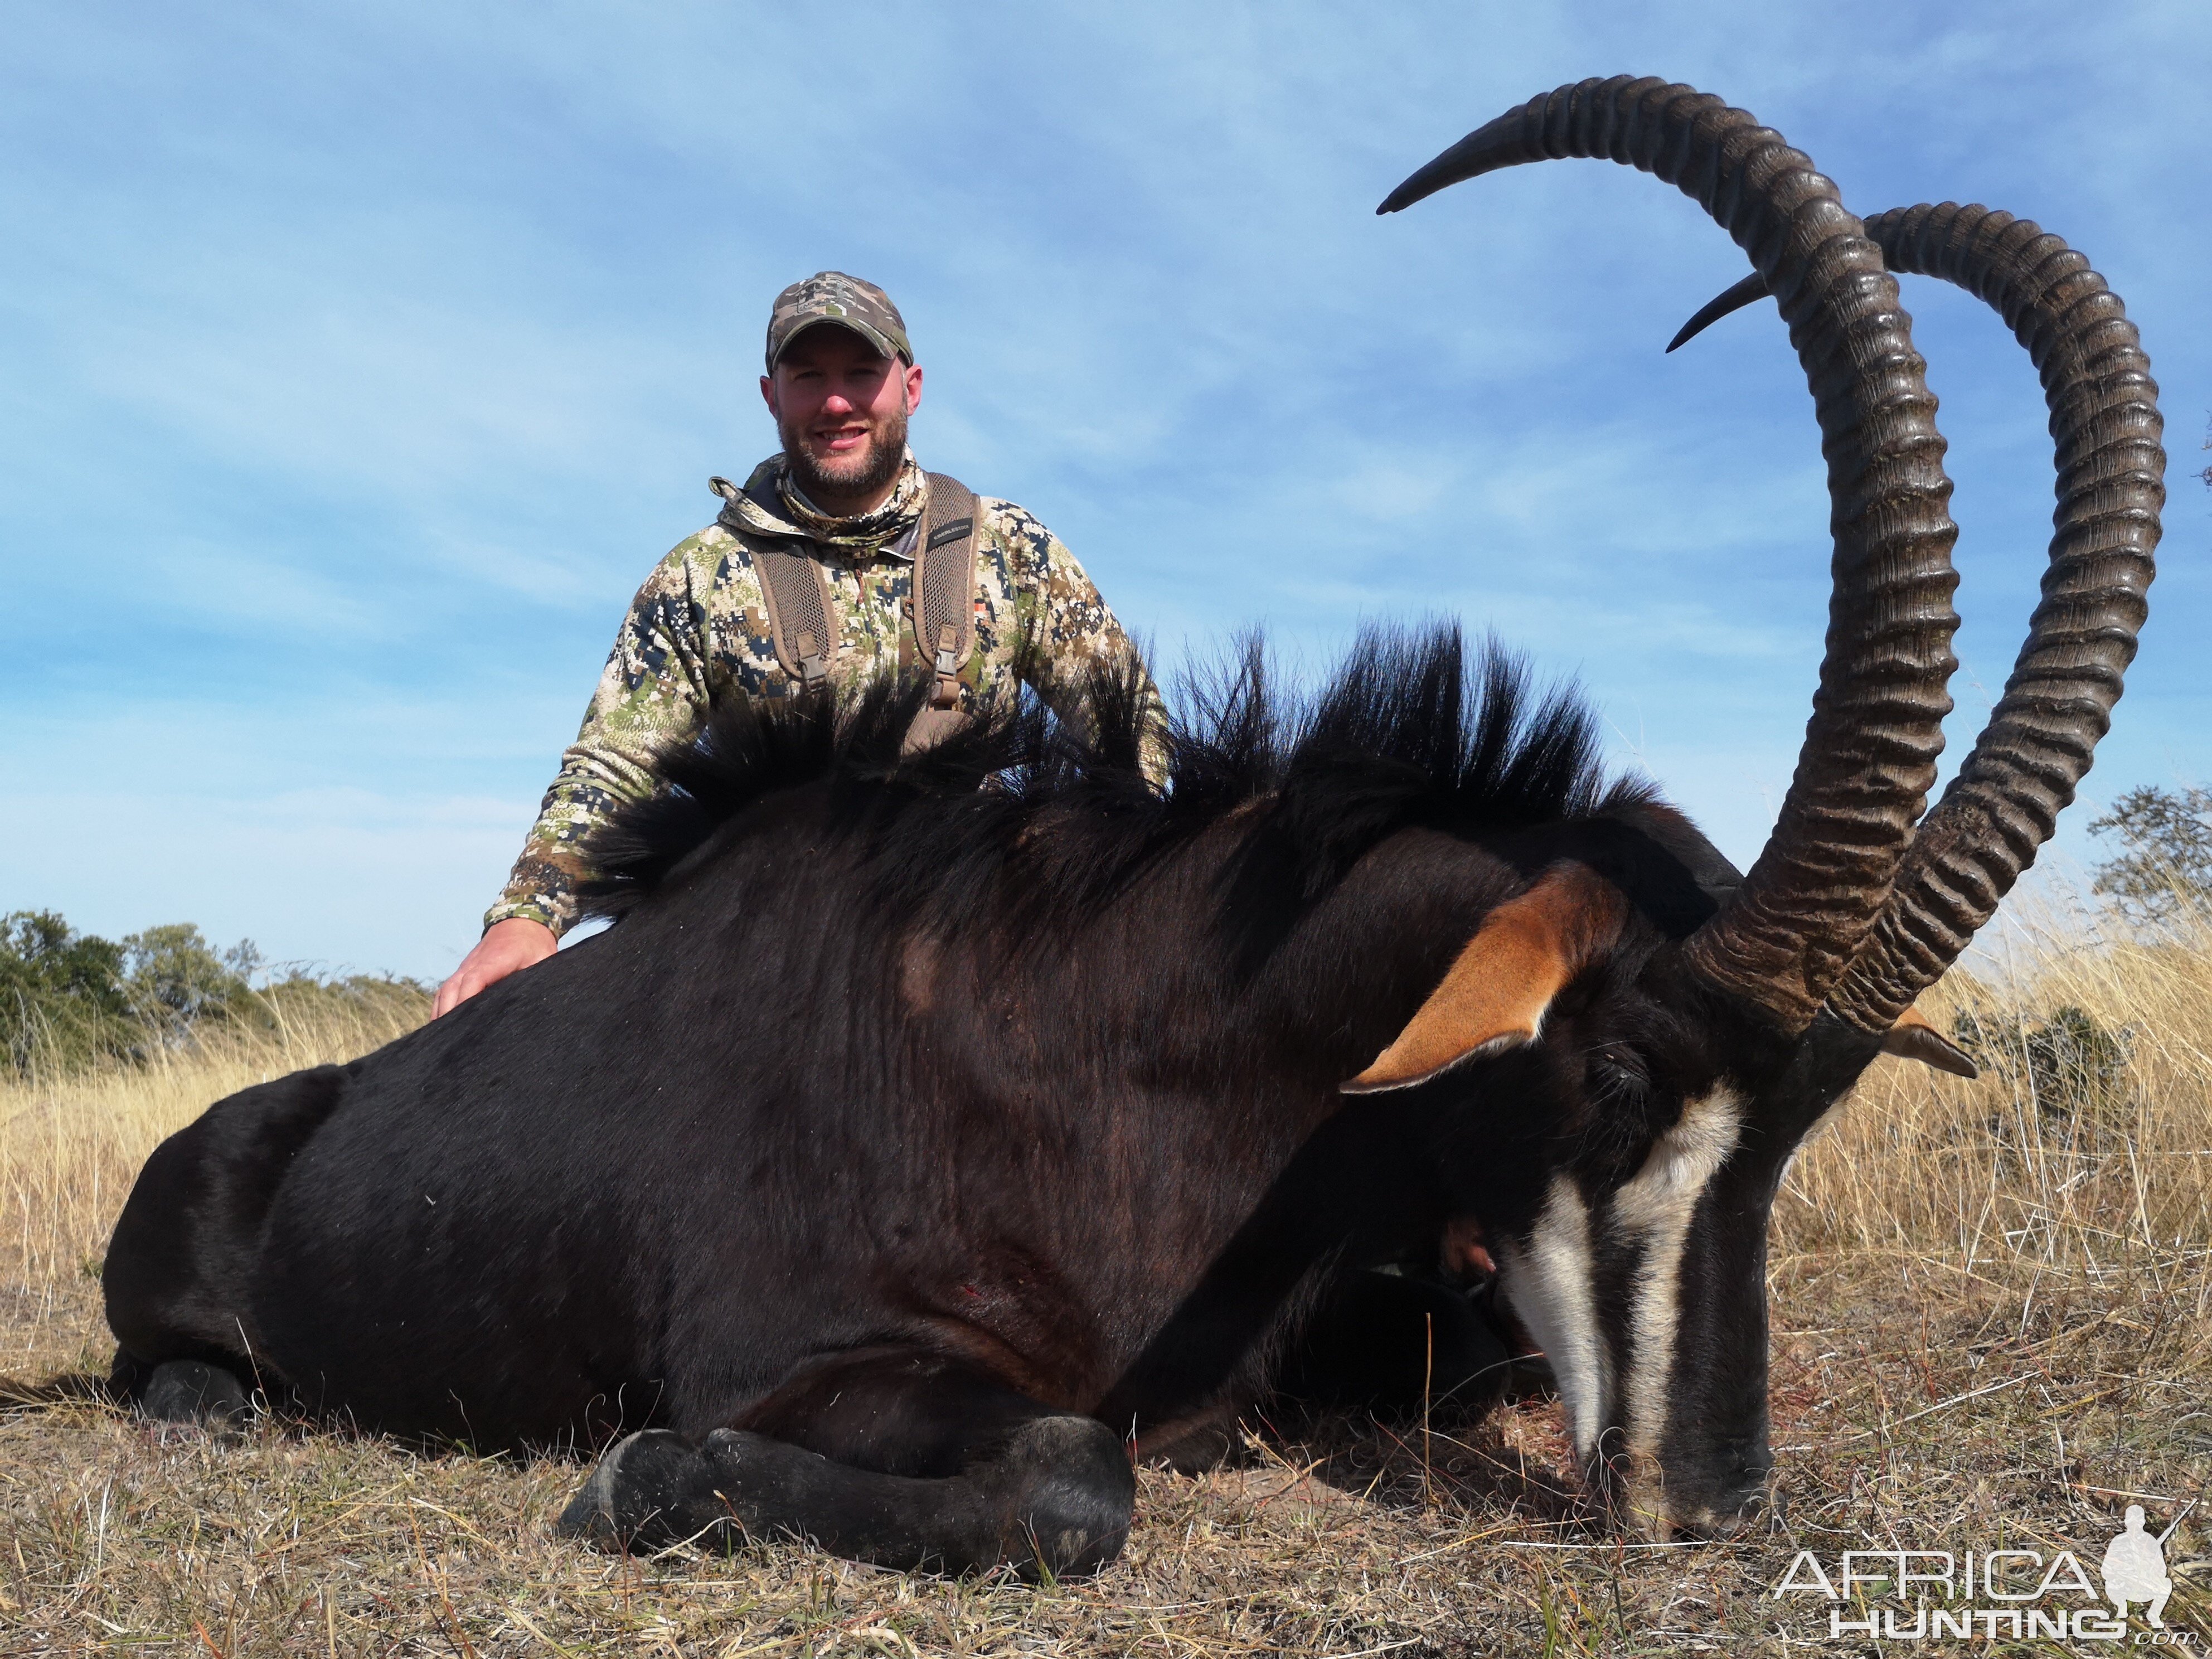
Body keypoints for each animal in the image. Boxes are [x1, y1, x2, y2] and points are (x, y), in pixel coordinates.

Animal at [108, 77, 2158, 1575]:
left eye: (1807, 1117)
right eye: (1618, 1074)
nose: (1710, 1504)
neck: (1105, 1034)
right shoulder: (795, 1356)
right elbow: (1074, 1478)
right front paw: (643, 1482)